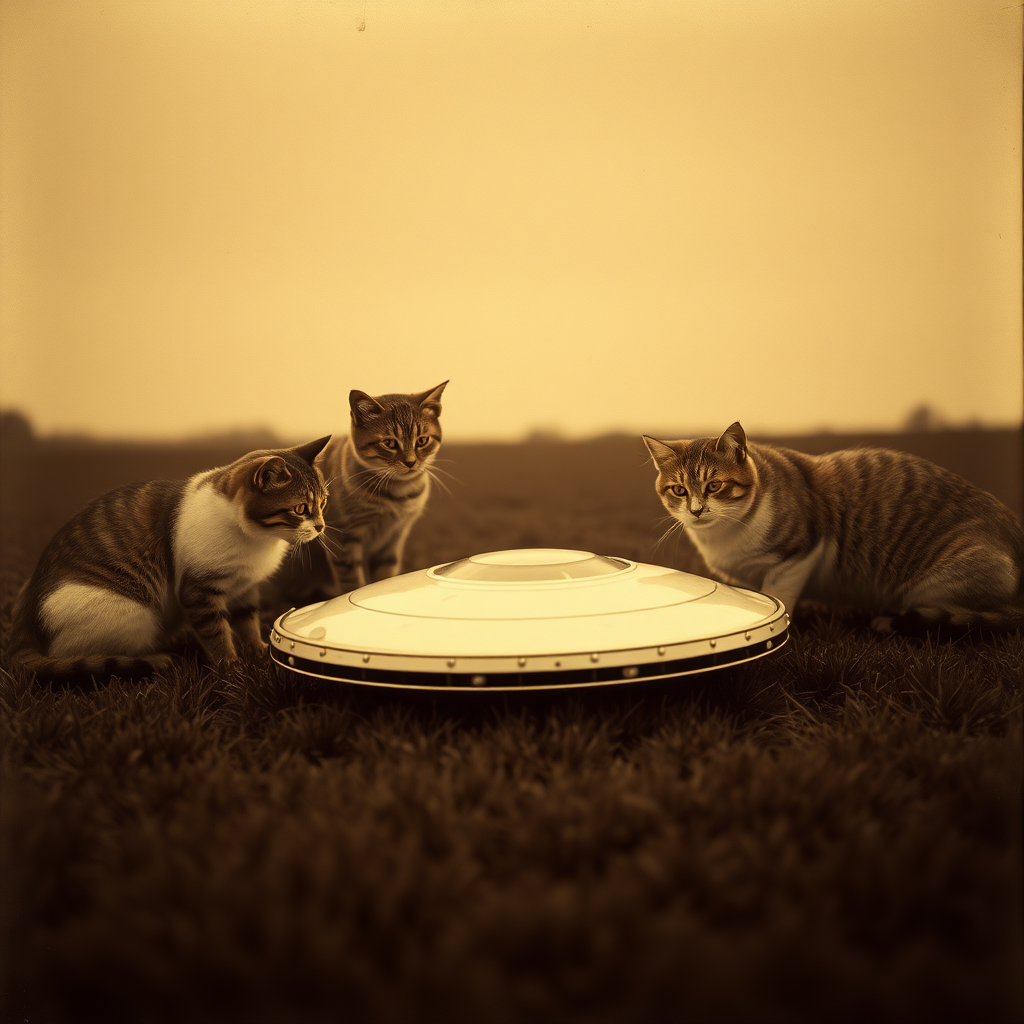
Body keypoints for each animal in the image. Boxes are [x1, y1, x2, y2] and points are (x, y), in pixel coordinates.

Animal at [8, 434, 331, 679]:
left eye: (323, 502)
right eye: (300, 509)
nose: (321, 526)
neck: (257, 539)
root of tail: (23, 629)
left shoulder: (245, 586)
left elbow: (248, 622)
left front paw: (260, 652)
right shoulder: (197, 592)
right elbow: (217, 634)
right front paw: (232, 668)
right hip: (131, 614)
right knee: (83, 656)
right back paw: (156, 659)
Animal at [270, 385, 446, 606]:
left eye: (422, 440)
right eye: (389, 443)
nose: (411, 462)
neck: (397, 495)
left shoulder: (394, 538)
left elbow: (385, 578)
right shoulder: (343, 539)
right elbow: (352, 582)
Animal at [643, 417, 1024, 626]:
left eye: (714, 486)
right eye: (679, 490)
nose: (696, 510)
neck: (725, 535)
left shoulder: (803, 551)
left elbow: (778, 597)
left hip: (937, 583)